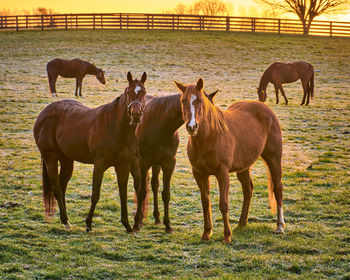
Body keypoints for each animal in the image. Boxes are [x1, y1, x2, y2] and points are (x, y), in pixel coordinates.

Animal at [33, 71, 146, 232]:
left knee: (62, 186)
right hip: (50, 158)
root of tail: (43, 114)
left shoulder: (123, 166)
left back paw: (65, 220)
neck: (115, 127)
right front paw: (88, 223)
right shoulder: (99, 165)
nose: (136, 114)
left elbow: (123, 194)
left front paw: (127, 225)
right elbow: (95, 194)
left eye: (143, 92)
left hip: (67, 160)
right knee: (57, 188)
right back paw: (65, 220)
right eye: (128, 92)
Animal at [132, 91, 219, 233]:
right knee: (139, 187)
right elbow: (141, 192)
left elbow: (166, 194)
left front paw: (168, 225)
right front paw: (135, 224)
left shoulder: (169, 164)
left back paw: (157, 218)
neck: (161, 126)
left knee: (154, 185)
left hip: (156, 164)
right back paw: (139, 219)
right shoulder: (143, 163)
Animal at [176, 78, 286, 243]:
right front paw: (206, 233)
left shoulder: (223, 173)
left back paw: (279, 226)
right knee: (248, 190)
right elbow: (205, 202)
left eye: (200, 100)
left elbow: (223, 204)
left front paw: (226, 236)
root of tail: (267, 110)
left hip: (273, 159)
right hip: (244, 167)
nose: (192, 126)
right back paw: (241, 223)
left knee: (278, 189)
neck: (210, 136)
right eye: (183, 101)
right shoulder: (199, 173)